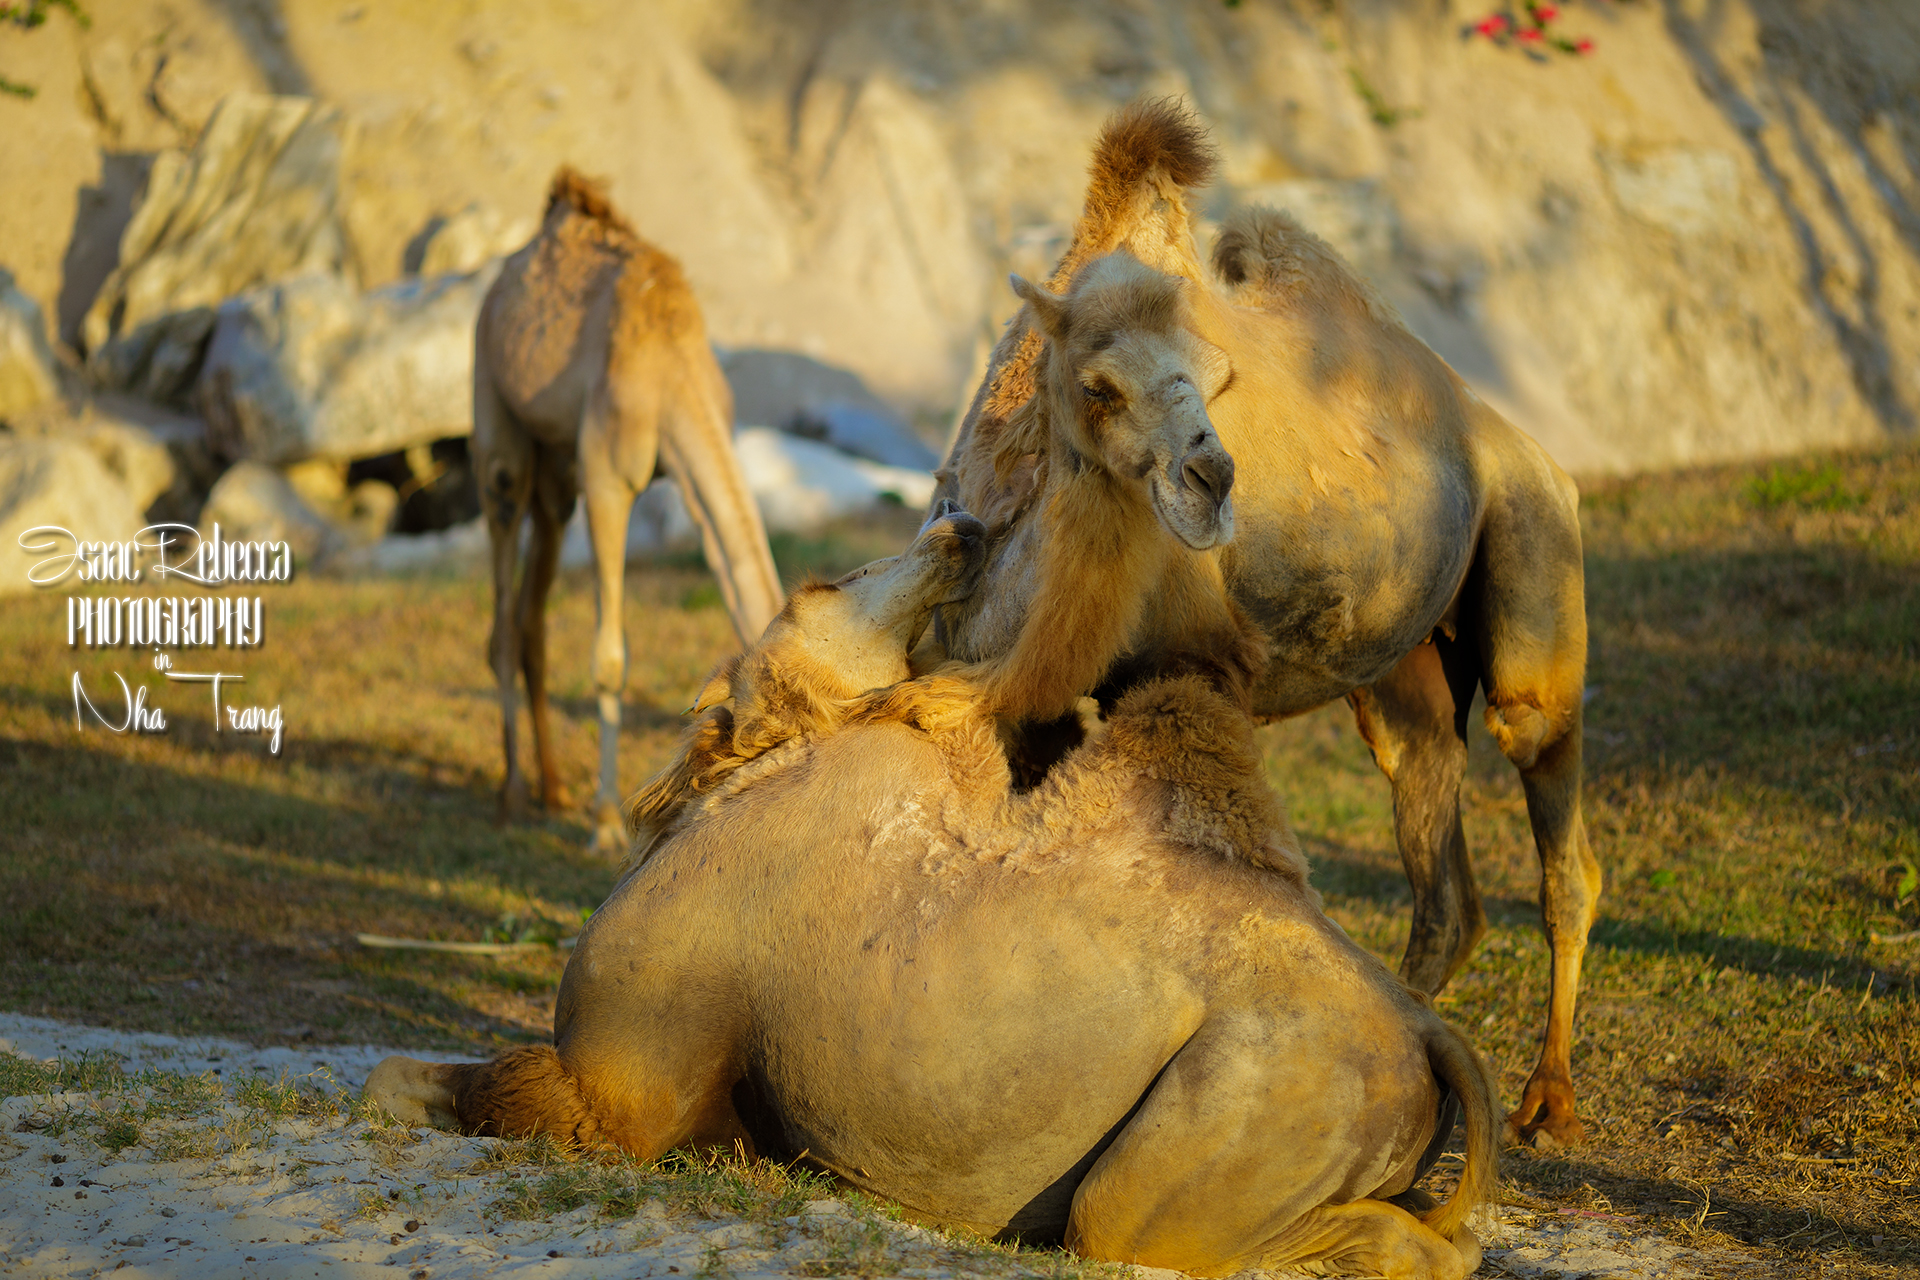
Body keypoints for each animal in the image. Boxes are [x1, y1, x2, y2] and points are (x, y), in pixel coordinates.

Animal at [360, 514, 1497, 1280]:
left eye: (817, 581)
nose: (960, 526)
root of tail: (1422, 1031)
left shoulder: (624, 1088)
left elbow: (439, 1081)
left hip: (1206, 1145)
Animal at [476, 165, 783, 855]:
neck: (671, 368)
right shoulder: (607, 480)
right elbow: (610, 659)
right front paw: (607, 825)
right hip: (498, 428)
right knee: (504, 603)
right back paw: (511, 796)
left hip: (555, 471)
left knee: (532, 614)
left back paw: (553, 789)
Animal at [936, 97, 1597, 1143]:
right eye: (1097, 385)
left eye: (1219, 378)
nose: (1212, 479)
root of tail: (1506, 433)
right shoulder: (1028, 697)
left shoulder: (1205, 668)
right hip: (1399, 672)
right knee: (1439, 854)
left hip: (1535, 556)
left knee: (1555, 825)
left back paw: (1549, 1100)